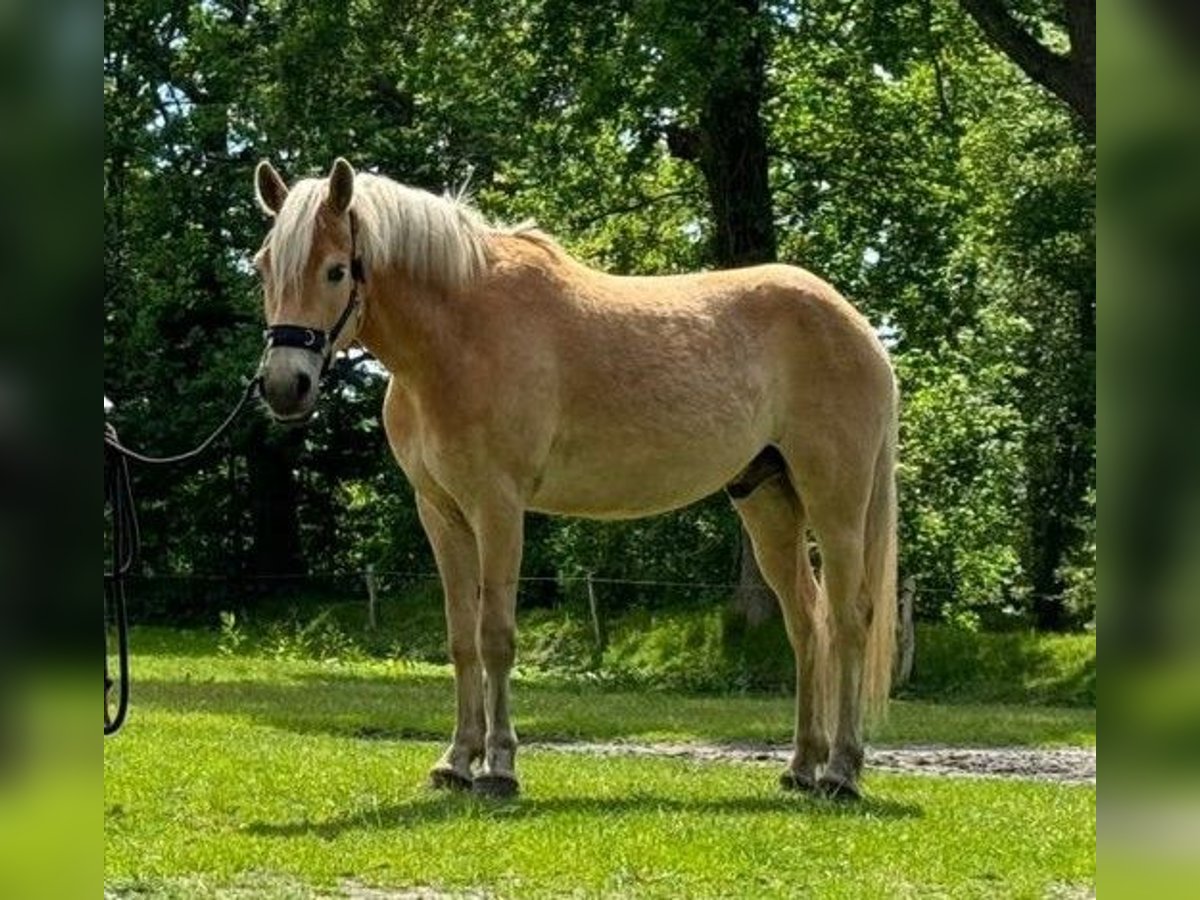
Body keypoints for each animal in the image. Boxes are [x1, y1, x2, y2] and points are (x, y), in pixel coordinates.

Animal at [248, 158, 897, 801]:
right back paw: (801, 767)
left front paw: (500, 767)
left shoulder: (498, 507)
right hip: (767, 501)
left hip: (836, 505)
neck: (460, 335)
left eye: (336, 270)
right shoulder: (441, 512)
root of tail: (857, 327)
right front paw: (456, 762)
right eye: (262, 267)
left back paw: (841, 772)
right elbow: (460, 639)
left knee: (849, 617)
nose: (284, 385)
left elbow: (495, 634)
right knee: (807, 623)